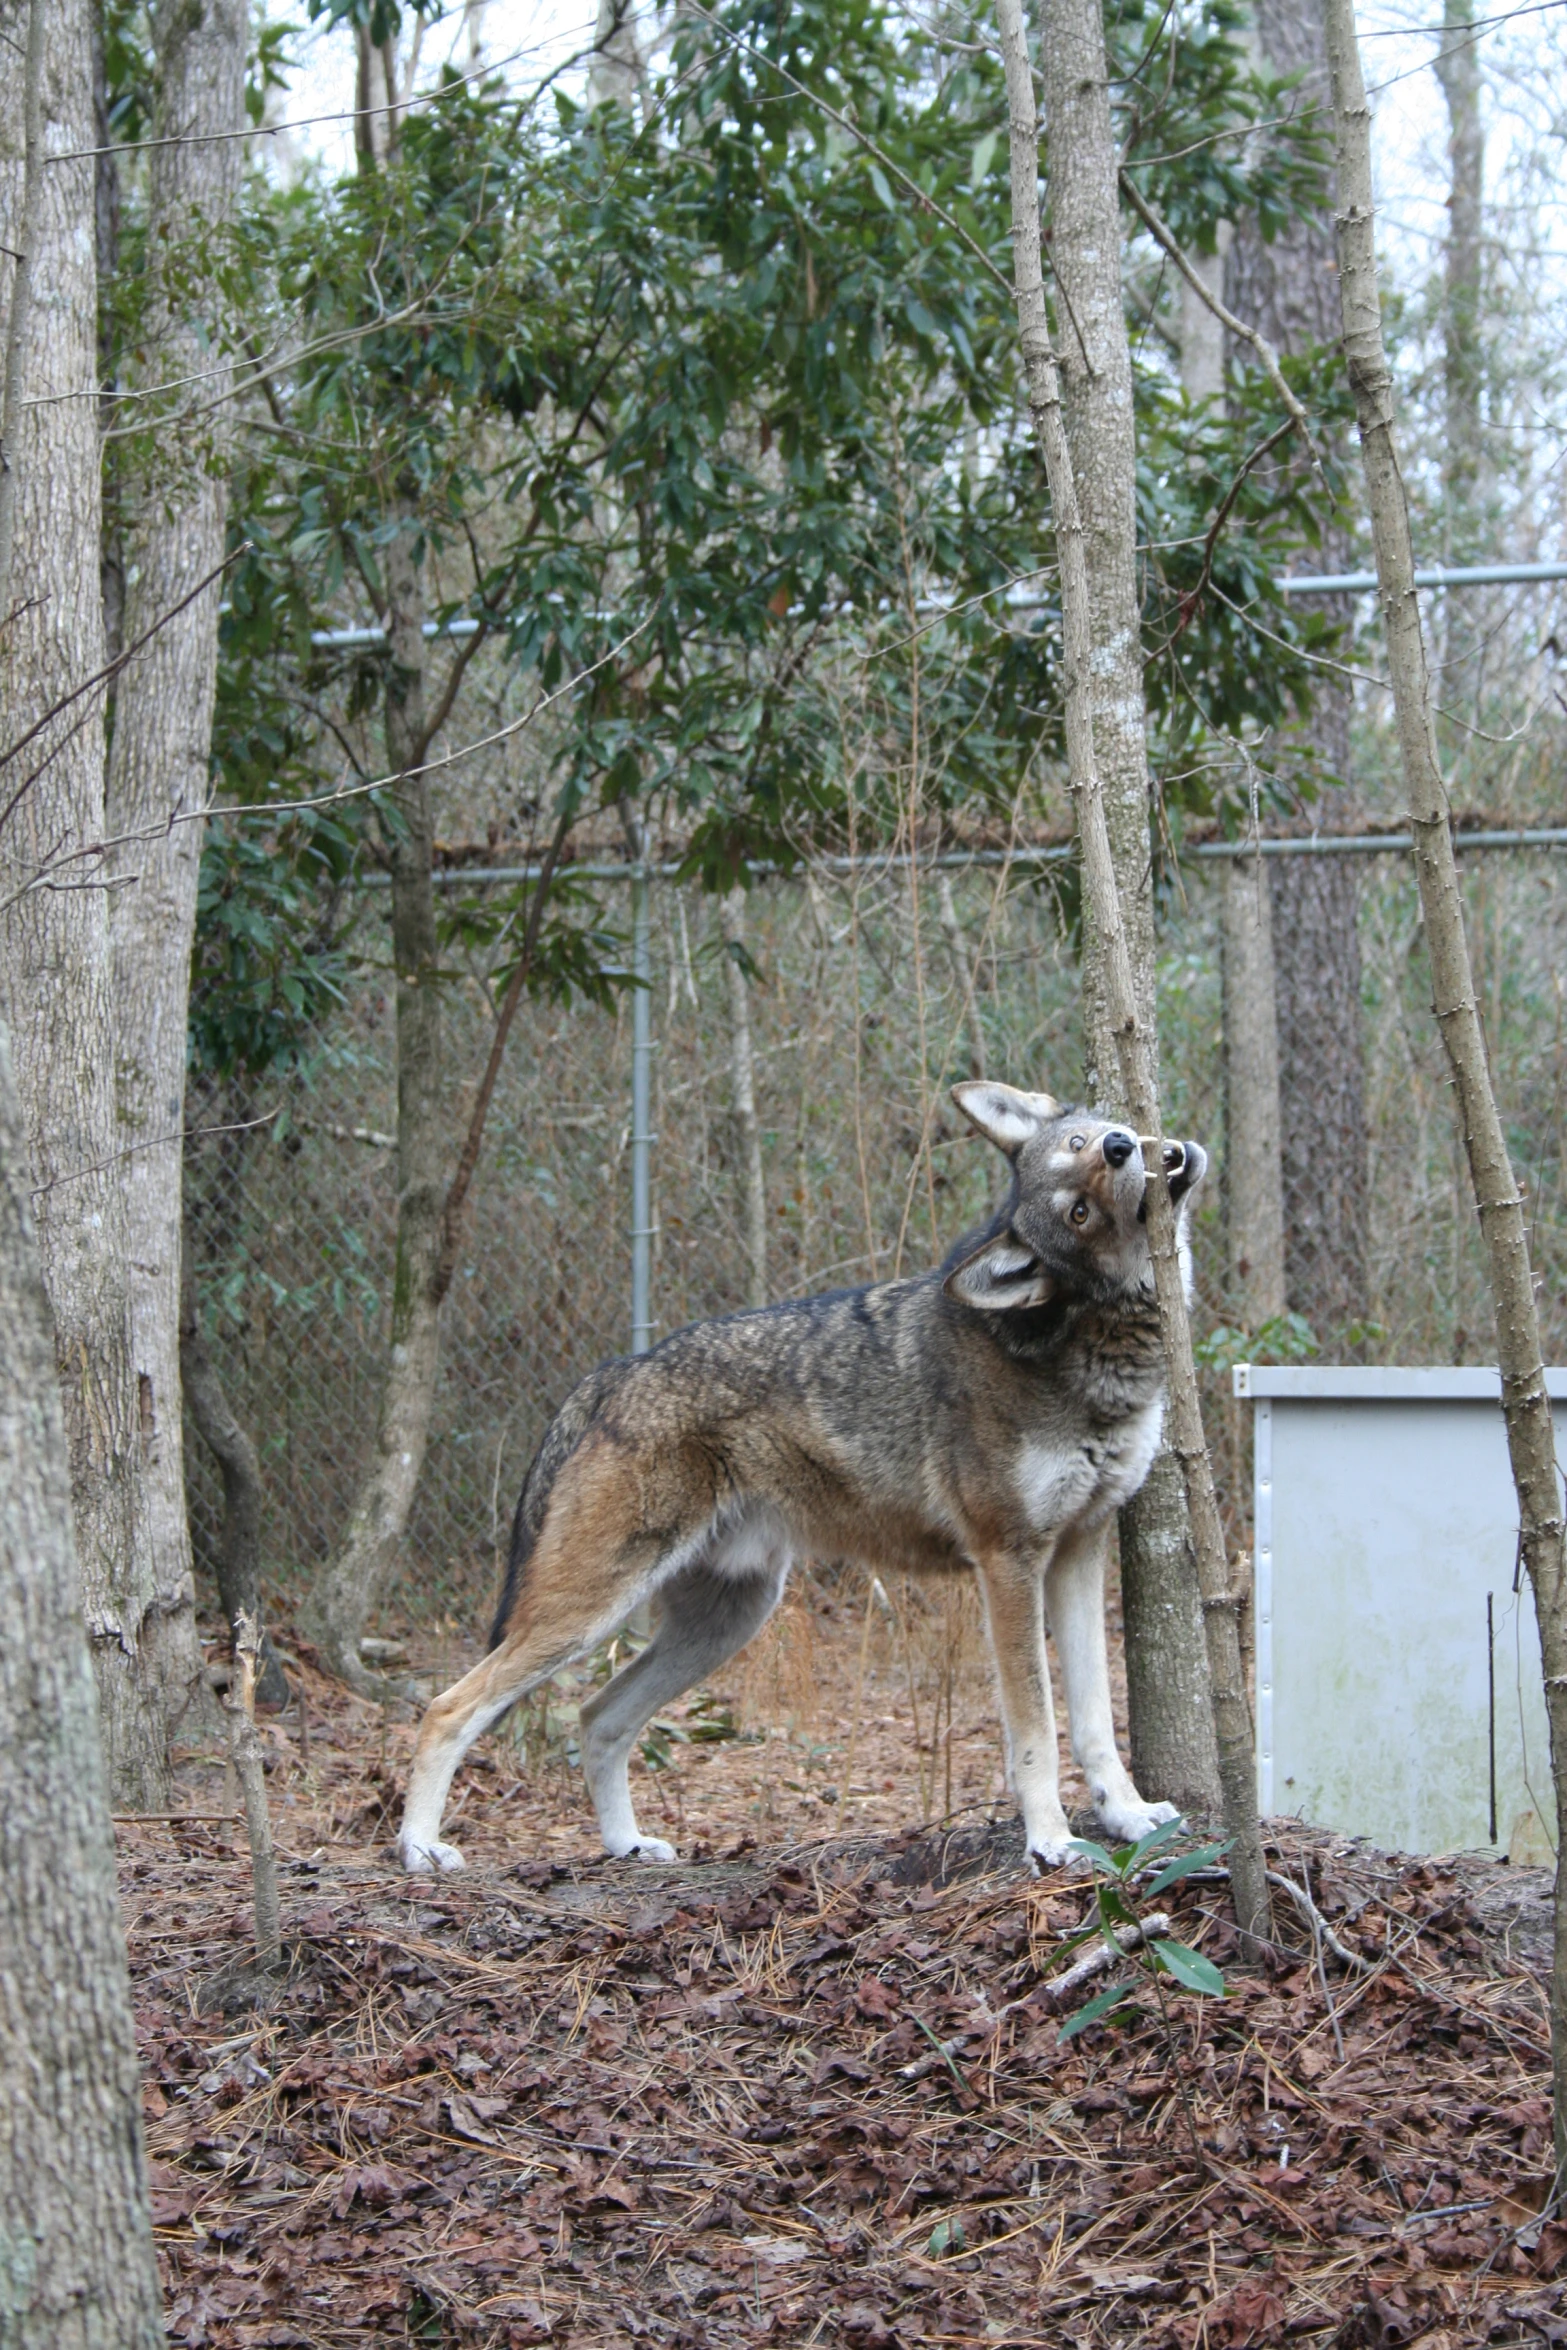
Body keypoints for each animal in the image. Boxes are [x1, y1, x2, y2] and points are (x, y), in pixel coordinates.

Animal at [399, 1076, 1212, 1870]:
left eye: (1086, 1151)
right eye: (1077, 1201)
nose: (1118, 1145)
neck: (1091, 1350)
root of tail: (609, 1375)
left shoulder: (1078, 1551)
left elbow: (1096, 1722)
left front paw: (1129, 1817)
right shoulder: (1007, 1562)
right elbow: (1035, 1728)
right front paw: (1049, 1839)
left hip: (726, 1620)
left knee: (598, 1716)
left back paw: (625, 1844)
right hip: (588, 1614)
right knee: (448, 1707)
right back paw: (420, 1847)